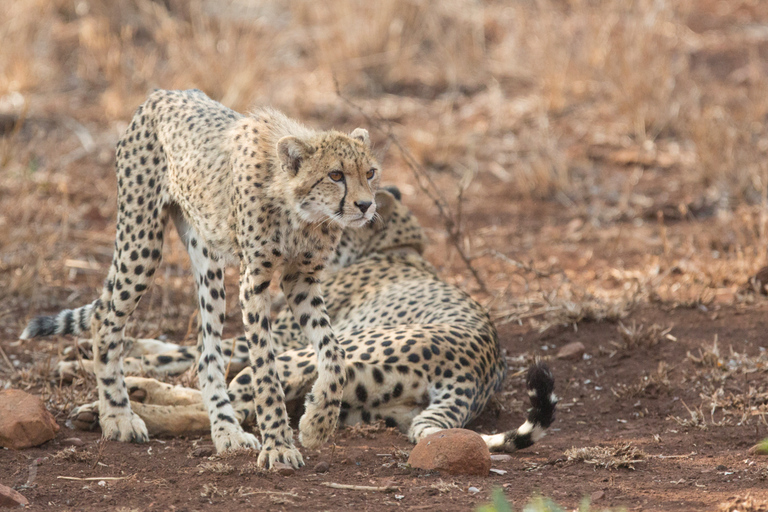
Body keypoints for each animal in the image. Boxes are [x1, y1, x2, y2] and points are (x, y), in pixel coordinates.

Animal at [21, 188, 556, 452]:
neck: (394, 246)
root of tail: (475, 370)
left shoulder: (278, 335)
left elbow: (192, 352)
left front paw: (85, 362)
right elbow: (176, 350)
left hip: (312, 356)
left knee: (229, 400)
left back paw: (113, 409)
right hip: (358, 403)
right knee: (231, 399)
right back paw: (122, 398)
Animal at [22, 89, 382, 468]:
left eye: (370, 172)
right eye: (336, 175)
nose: (366, 205)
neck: (300, 211)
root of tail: (163, 93)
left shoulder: (301, 279)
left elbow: (334, 352)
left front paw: (317, 423)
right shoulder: (255, 283)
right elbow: (266, 370)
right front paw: (279, 446)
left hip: (207, 258)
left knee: (207, 355)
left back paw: (227, 430)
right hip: (142, 242)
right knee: (105, 319)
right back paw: (118, 416)